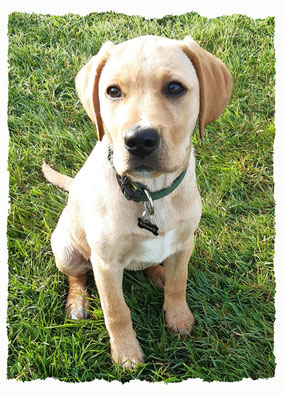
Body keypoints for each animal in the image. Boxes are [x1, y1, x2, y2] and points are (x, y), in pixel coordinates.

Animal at [42, 35, 233, 370]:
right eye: (113, 91)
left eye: (175, 88)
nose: (139, 141)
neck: (149, 192)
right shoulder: (105, 265)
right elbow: (116, 311)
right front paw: (126, 353)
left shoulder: (185, 243)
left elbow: (179, 283)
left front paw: (179, 318)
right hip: (65, 248)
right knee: (76, 276)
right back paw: (77, 303)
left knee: (153, 265)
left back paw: (158, 274)